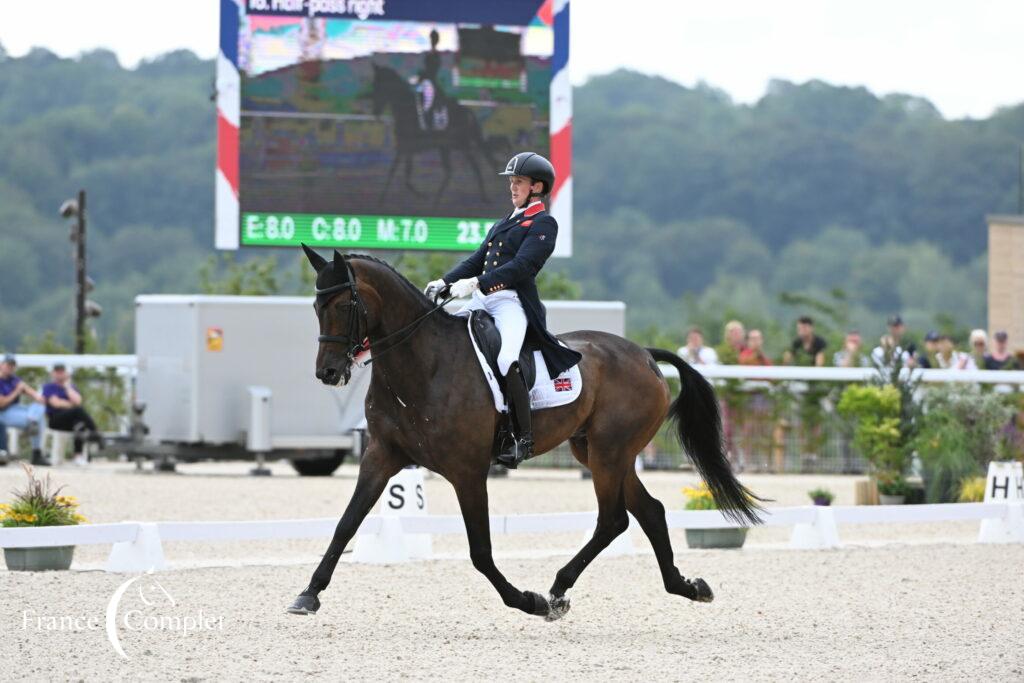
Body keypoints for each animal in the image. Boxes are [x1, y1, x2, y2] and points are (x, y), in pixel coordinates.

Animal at [288, 249, 761, 618]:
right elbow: (346, 525)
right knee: (651, 511)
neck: (424, 364)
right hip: (597, 451)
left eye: (343, 305)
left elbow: (480, 551)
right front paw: (308, 595)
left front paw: (527, 601)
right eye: (316, 307)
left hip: (609, 453)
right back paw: (687, 587)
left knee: (614, 519)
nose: (328, 373)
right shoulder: (381, 456)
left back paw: (556, 592)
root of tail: (643, 355)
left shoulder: (467, 470)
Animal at [370, 63, 497, 202]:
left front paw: (421, 196)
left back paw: (483, 197)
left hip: (461, 145)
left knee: (474, 167)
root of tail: (466, 111)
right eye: (374, 85)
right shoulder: (404, 148)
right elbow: (397, 173)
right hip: (446, 147)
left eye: (381, 86)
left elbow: (403, 176)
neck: (406, 110)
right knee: (450, 171)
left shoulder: (406, 149)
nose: (375, 112)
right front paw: (382, 199)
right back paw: (437, 200)